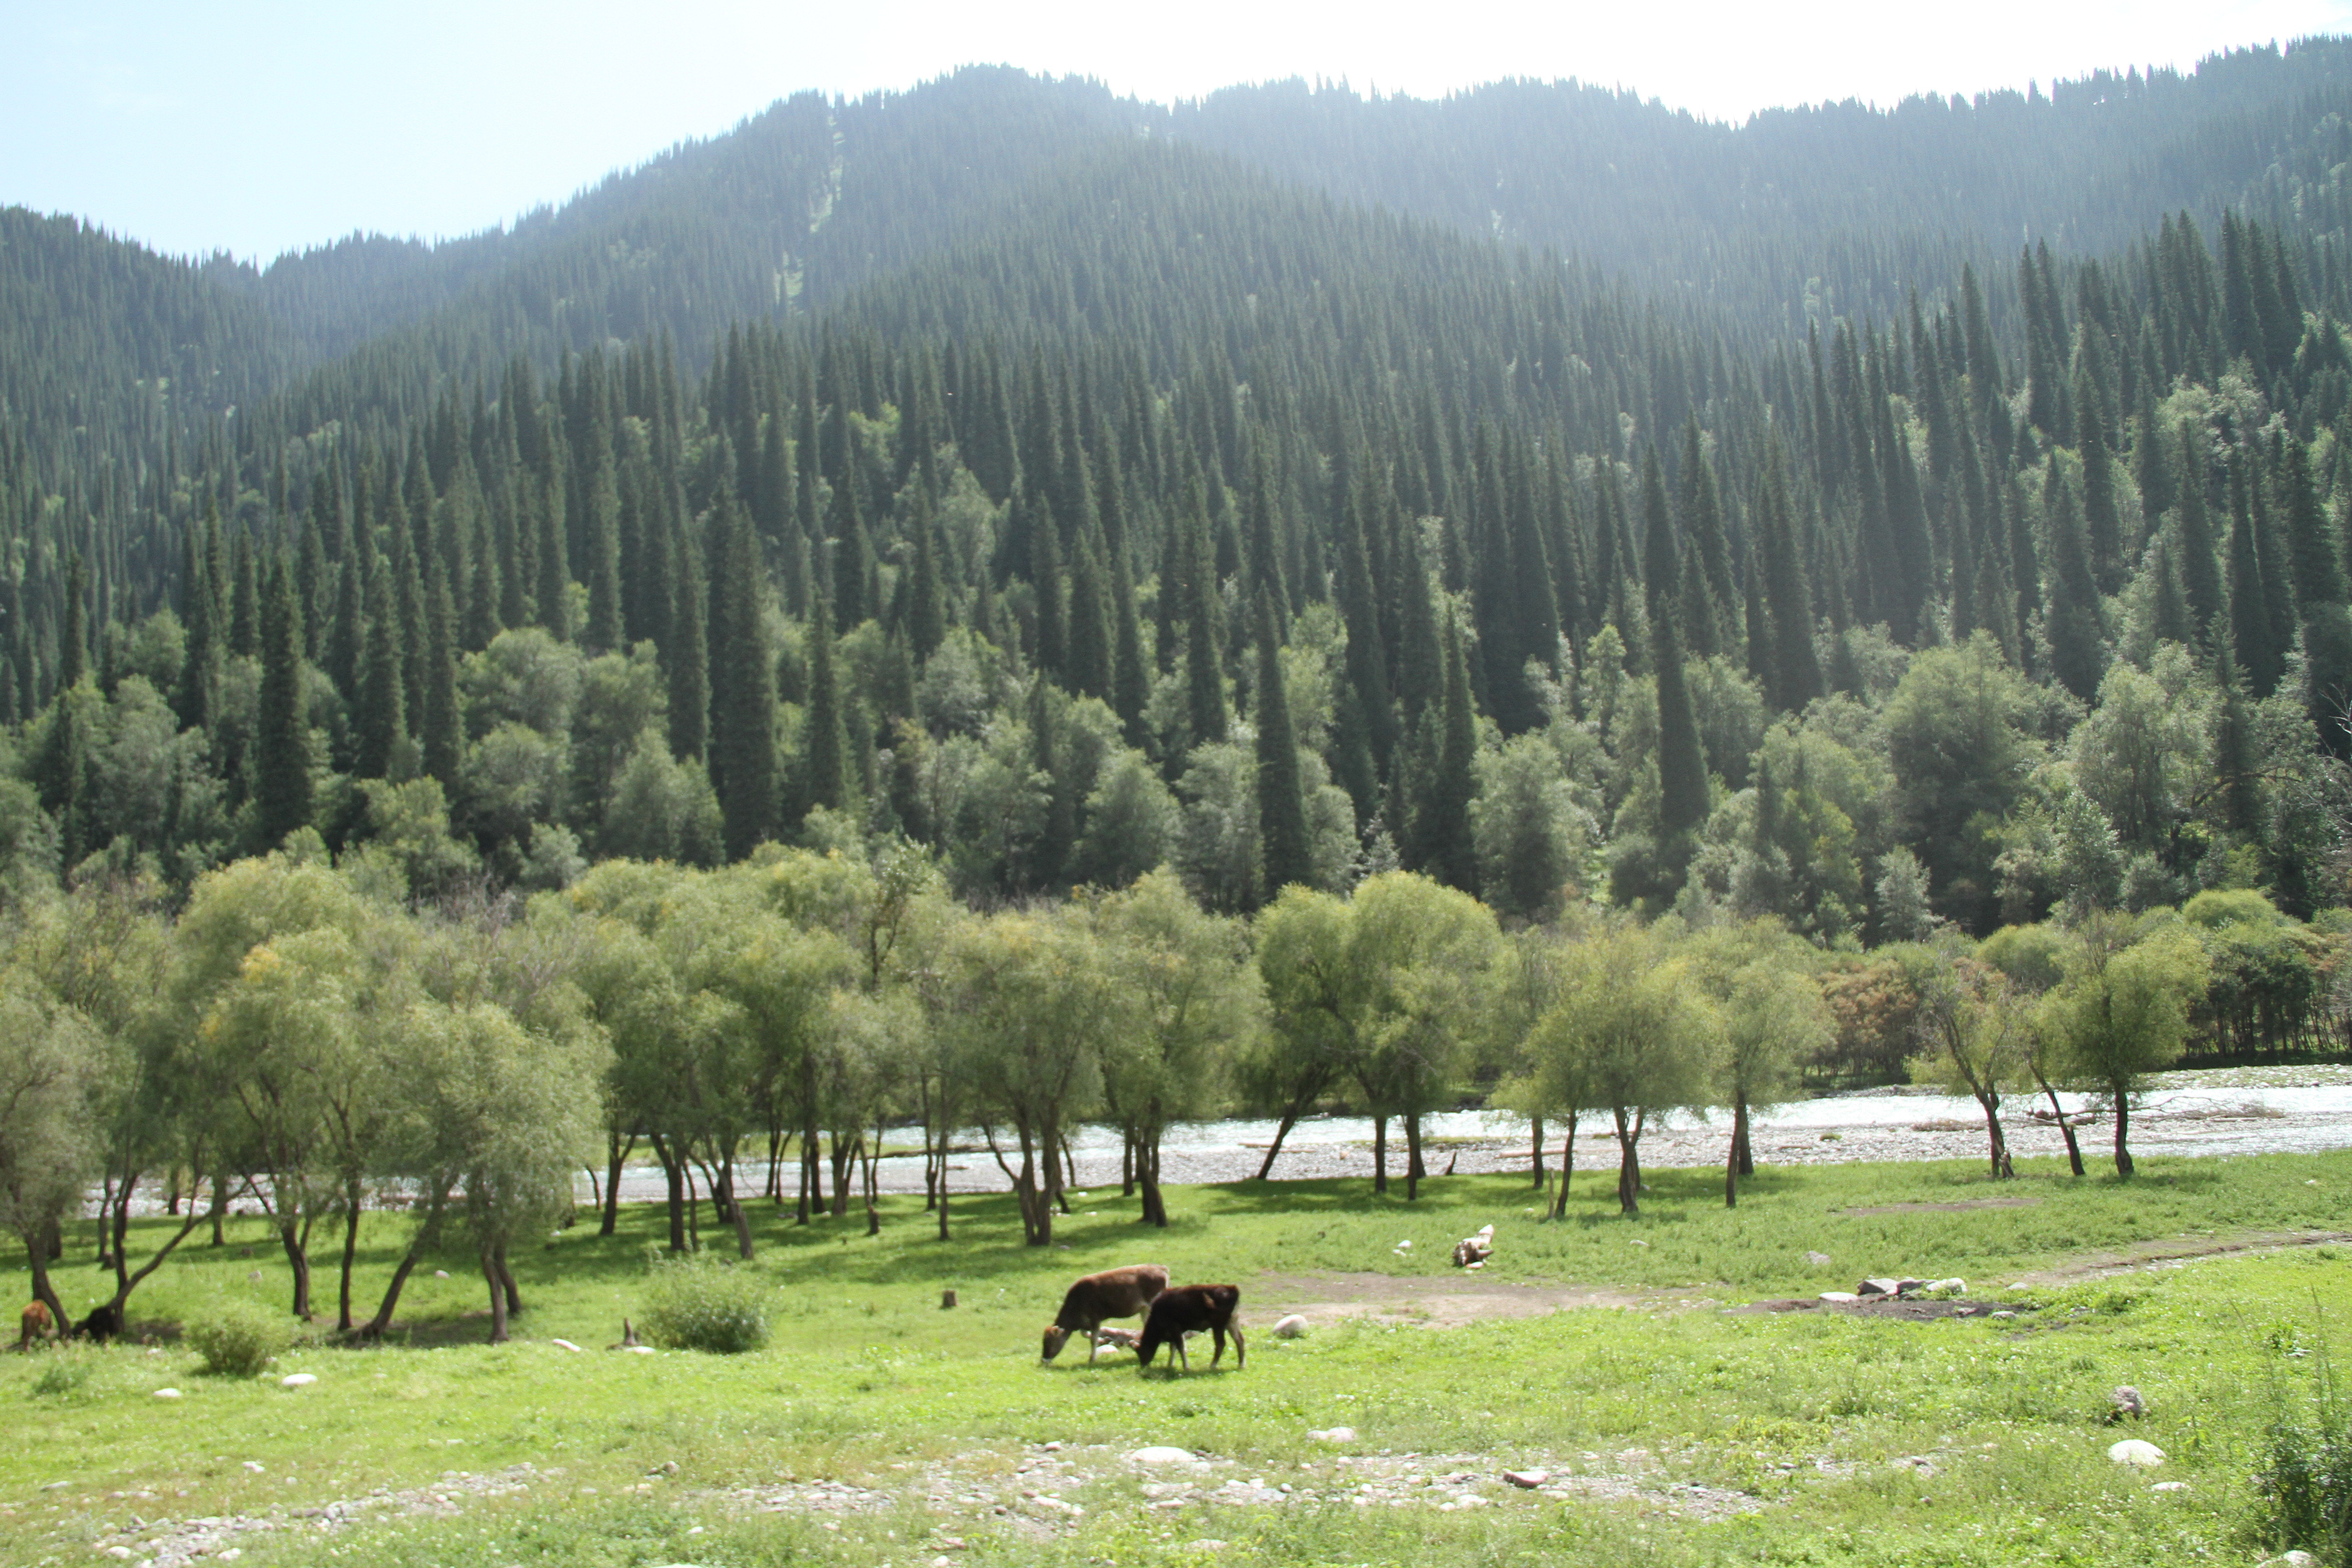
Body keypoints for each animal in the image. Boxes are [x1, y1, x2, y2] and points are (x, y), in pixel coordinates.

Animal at [1044, 1260, 1171, 1363]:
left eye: (1049, 1342)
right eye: (1043, 1341)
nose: (1044, 1360)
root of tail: (1162, 1268)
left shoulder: (1095, 1317)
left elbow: (1093, 1339)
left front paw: (1092, 1359)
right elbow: (1088, 1335)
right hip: (1144, 1309)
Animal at [1138, 1288, 1251, 1372]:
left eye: (1141, 1351)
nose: (1143, 1366)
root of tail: (1233, 1289)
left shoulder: (1174, 1326)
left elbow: (1181, 1347)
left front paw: (1186, 1367)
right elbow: (1174, 1347)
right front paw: (1170, 1364)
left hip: (1218, 1324)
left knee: (1221, 1343)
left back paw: (1212, 1366)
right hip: (1232, 1322)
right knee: (1240, 1340)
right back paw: (1241, 1364)